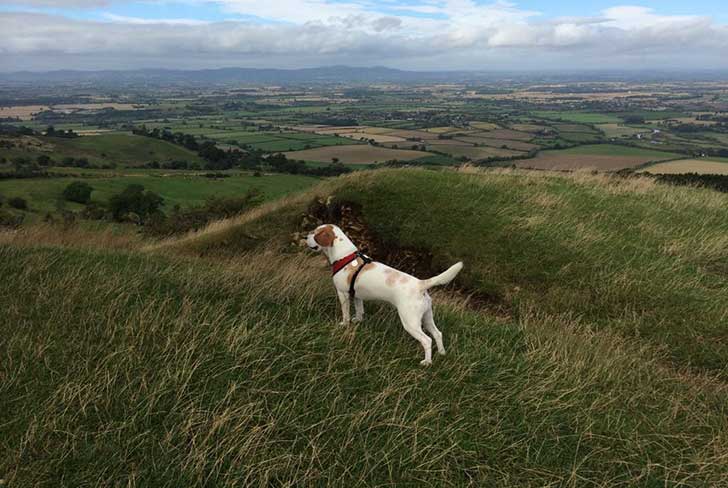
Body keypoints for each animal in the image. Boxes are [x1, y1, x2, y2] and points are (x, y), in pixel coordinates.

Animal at [306, 223, 464, 364]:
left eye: (315, 233)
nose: (305, 236)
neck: (345, 256)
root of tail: (420, 284)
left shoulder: (343, 294)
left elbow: (345, 313)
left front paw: (344, 325)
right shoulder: (356, 296)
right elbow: (359, 310)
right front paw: (357, 321)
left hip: (410, 322)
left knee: (427, 340)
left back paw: (427, 362)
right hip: (427, 317)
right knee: (437, 334)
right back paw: (442, 353)